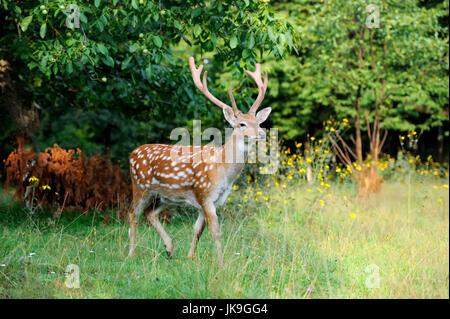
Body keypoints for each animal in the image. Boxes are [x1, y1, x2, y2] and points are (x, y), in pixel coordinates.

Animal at [128, 56, 272, 266]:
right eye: (242, 124)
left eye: (259, 122)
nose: (262, 133)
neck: (224, 170)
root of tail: (132, 153)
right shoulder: (205, 194)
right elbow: (216, 231)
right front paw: (221, 264)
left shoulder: (215, 199)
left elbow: (198, 230)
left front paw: (190, 257)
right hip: (140, 185)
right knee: (133, 213)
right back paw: (131, 253)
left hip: (164, 195)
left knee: (150, 213)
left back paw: (169, 249)